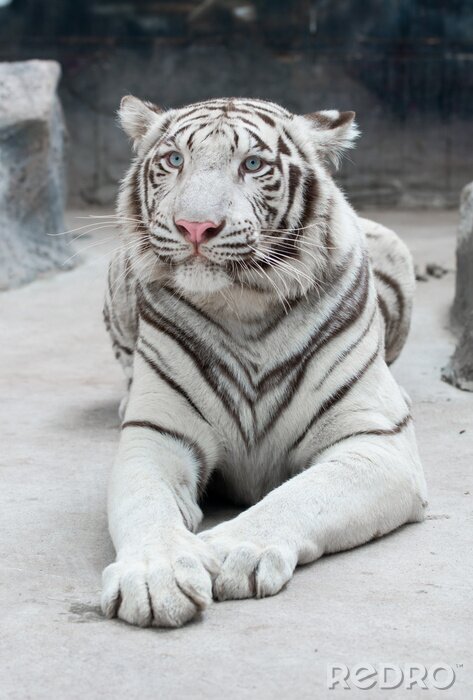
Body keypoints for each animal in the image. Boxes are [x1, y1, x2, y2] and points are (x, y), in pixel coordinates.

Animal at [101, 96, 427, 628]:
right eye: (174, 160)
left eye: (252, 165)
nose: (195, 227)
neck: (243, 308)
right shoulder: (158, 434)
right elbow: (144, 503)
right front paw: (155, 577)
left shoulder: (376, 442)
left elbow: (302, 494)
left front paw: (233, 551)